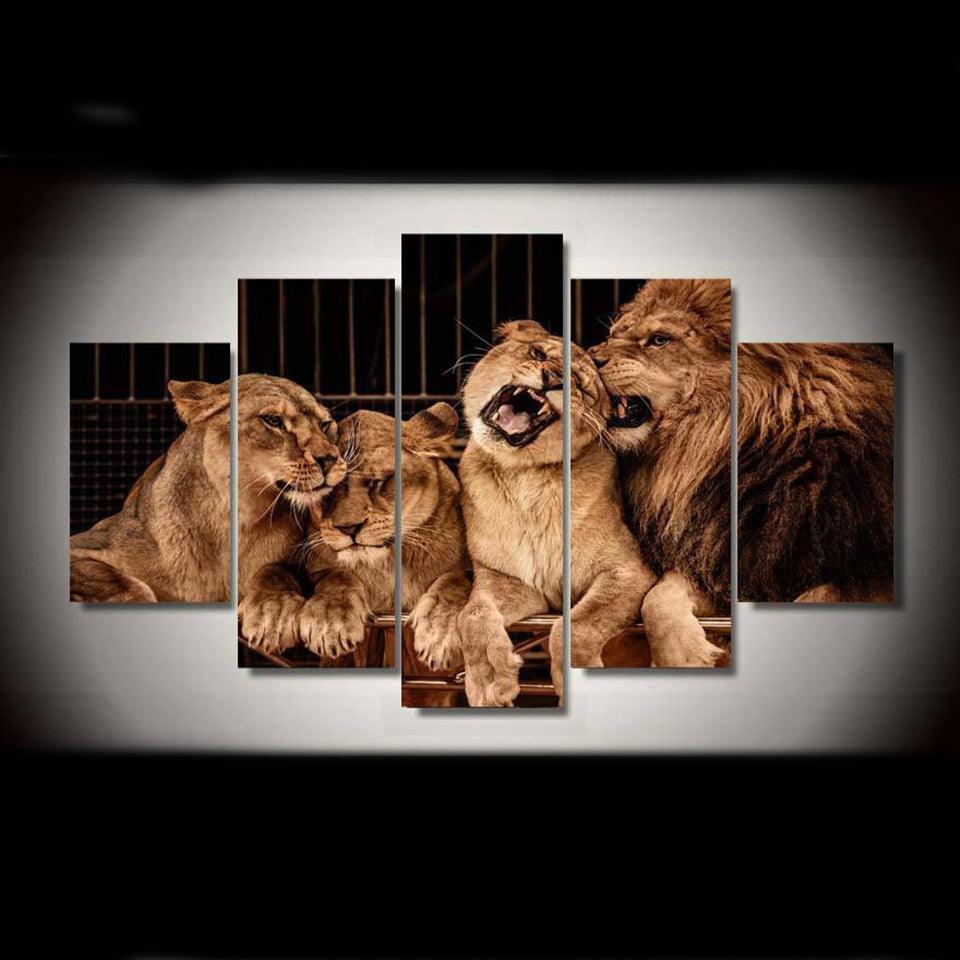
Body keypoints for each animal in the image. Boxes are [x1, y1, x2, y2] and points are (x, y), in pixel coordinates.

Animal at [236, 374, 347, 653]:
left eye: (325, 425)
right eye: (274, 421)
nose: (329, 459)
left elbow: (338, 578)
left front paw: (330, 624)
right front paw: (271, 620)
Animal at [299, 403, 471, 667]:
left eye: (377, 482)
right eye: (327, 492)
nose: (348, 528)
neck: (386, 564)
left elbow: (457, 581)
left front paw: (439, 631)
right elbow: (336, 577)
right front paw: (330, 621)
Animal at [457, 320, 654, 706]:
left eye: (581, 387)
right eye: (537, 353)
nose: (552, 378)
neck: (526, 476)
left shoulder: (628, 570)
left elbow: (577, 624)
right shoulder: (508, 580)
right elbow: (472, 614)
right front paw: (489, 680)